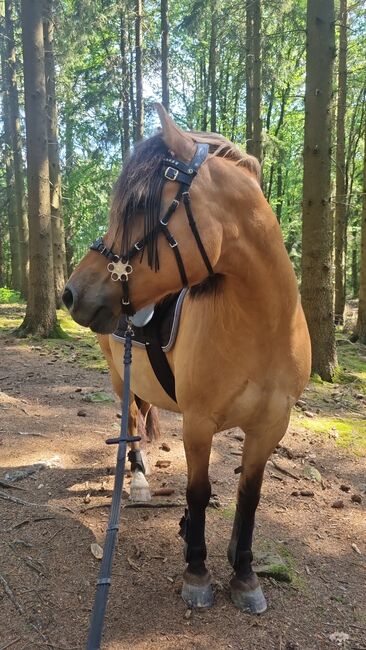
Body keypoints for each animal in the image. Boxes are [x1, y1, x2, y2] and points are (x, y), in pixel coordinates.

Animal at [63, 106, 312, 612]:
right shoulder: (199, 423)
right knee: (130, 424)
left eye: (140, 207)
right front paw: (197, 572)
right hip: (119, 377)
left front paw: (245, 573)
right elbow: (199, 493)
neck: (264, 328)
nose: (72, 293)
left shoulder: (271, 425)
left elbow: (249, 496)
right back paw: (138, 482)